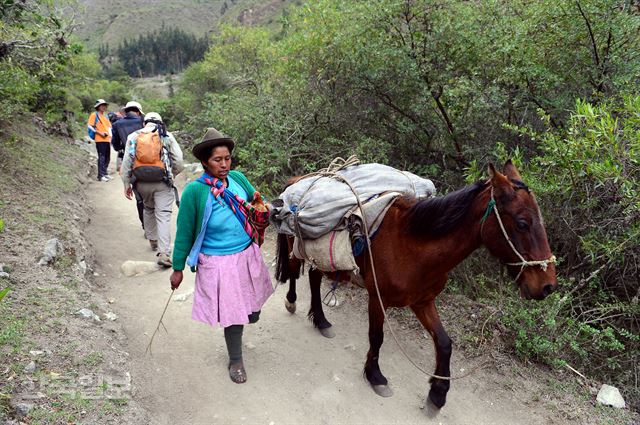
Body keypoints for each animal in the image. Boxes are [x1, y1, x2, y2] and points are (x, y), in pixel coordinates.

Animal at [274, 161, 556, 408]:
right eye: (522, 223)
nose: (548, 286)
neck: (412, 244)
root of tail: (297, 181)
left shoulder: (423, 301)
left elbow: (444, 343)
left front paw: (438, 393)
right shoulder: (377, 298)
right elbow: (376, 336)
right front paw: (375, 376)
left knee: (313, 279)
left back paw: (321, 321)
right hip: (296, 249)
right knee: (294, 273)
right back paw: (292, 302)